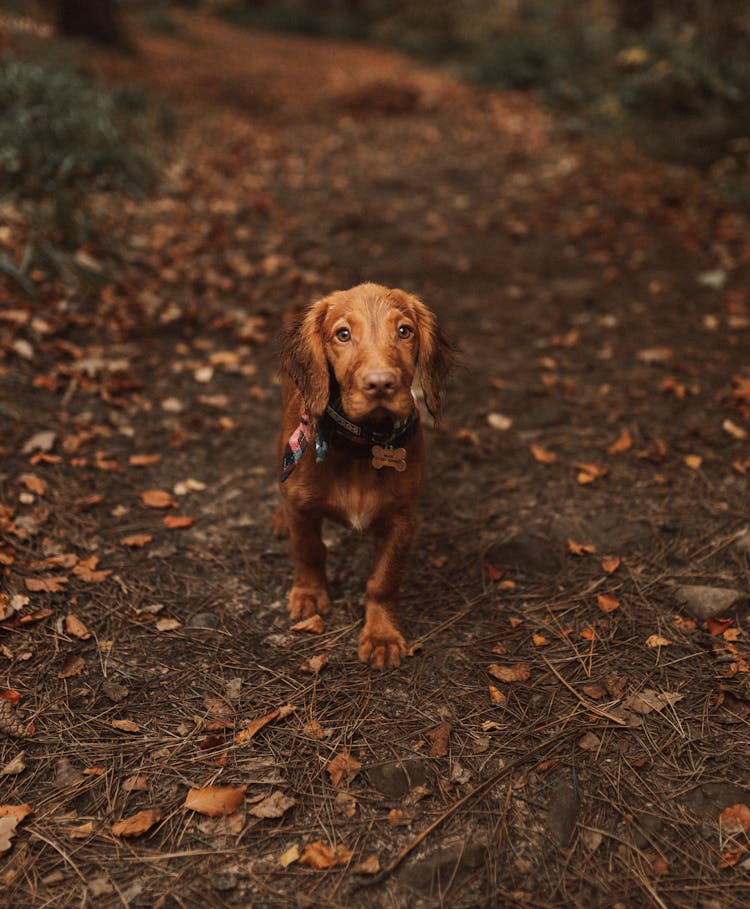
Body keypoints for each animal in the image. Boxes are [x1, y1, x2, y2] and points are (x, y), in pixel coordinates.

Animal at [274, 284, 452, 668]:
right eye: (343, 334)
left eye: (404, 331)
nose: (381, 384)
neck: (360, 444)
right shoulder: (302, 506)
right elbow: (308, 549)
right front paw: (308, 595)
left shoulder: (402, 519)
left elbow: (383, 581)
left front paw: (381, 637)